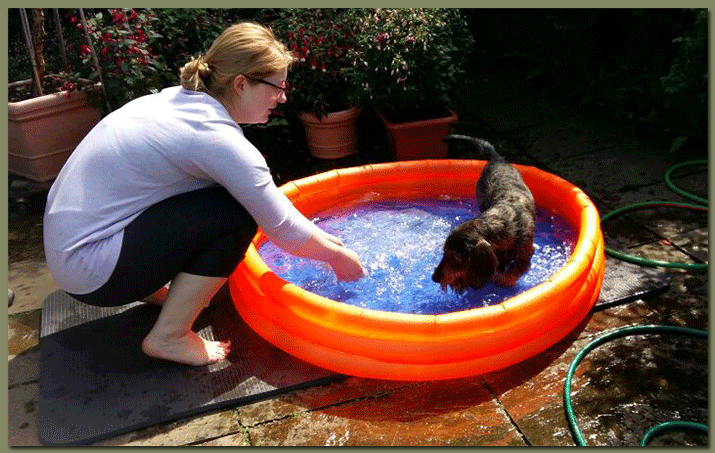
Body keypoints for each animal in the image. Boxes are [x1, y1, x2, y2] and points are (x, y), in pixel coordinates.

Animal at [432, 134, 536, 292]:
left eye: (454, 257)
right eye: (444, 252)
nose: (434, 278)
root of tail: (497, 159)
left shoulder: (525, 253)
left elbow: (512, 273)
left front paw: (502, 279)